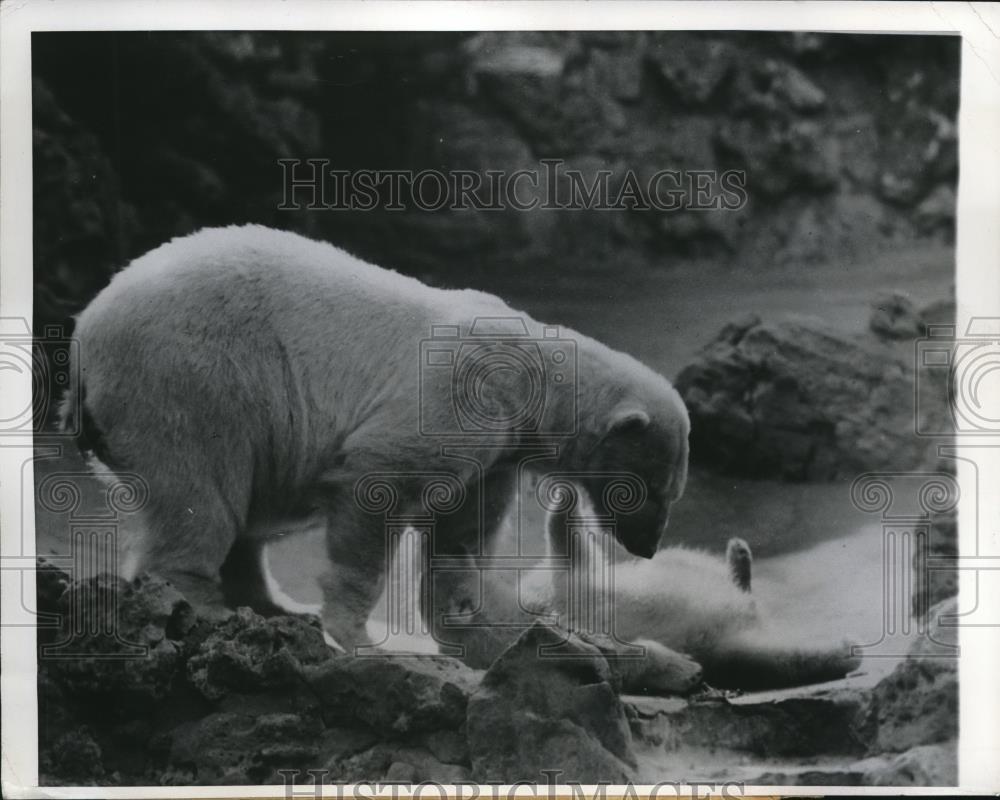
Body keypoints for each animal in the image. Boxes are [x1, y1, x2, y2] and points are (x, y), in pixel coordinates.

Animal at [66, 223, 692, 648]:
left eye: (670, 491)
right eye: (650, 488)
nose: (647, 546)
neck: (533, 376)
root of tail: (83, 331)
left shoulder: (497, 451)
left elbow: (461, 532)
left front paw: (466, 611)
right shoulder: (458, 396)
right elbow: (378, 484)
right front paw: (358, 634)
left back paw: (276, 605)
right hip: (193, 374)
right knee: (200, 488)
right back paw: (204, 602)